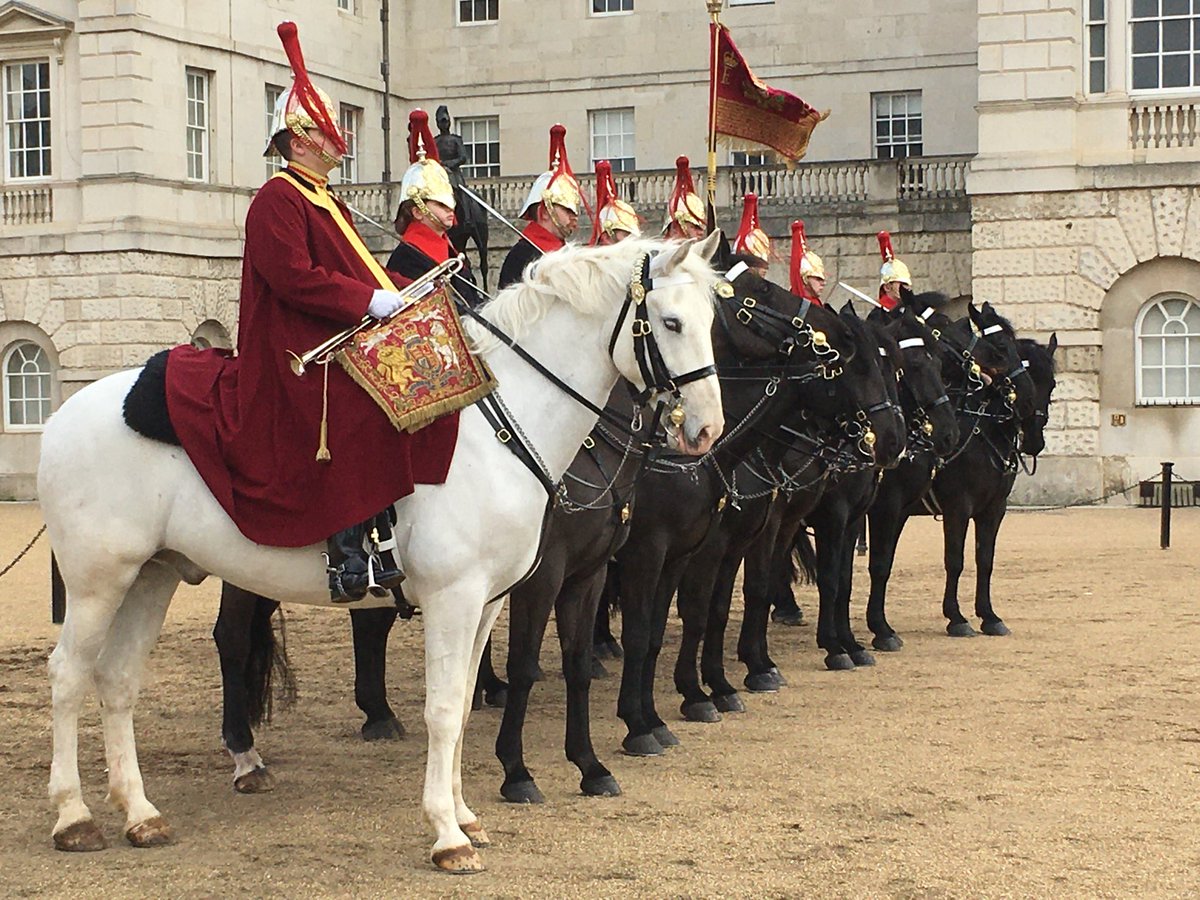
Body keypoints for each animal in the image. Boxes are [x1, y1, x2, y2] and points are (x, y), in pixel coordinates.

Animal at [39, 234, 720, 873]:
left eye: (714, 318)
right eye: (671, 322)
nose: (706, 431)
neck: (501, 425)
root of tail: (63, 412)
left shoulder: (491, 600)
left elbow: (466, 700)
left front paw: (466, 815)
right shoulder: (456, 596)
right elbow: (443, 709)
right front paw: (447, 834)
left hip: (151, 576)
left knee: (117, 678)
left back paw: (140, 813)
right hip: (99, 581)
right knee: (70, 674)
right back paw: (75, 817)